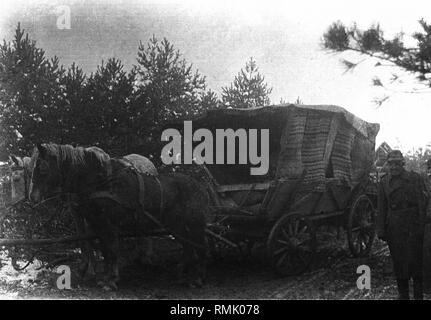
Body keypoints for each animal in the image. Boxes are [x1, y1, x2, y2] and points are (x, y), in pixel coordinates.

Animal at [28, 144, 208, 288]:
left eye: (42, 169)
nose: (32, 197)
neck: (102, 181)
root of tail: (199, 186)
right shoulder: (96, 224)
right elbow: (105, 251)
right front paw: (104, 276)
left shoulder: (109, 225)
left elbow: (112, 250)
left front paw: (110, 280)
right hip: (178, 227)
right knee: (188, 247)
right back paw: (183, 275)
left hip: (195, 226)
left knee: (199, 247)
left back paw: (196, 278)